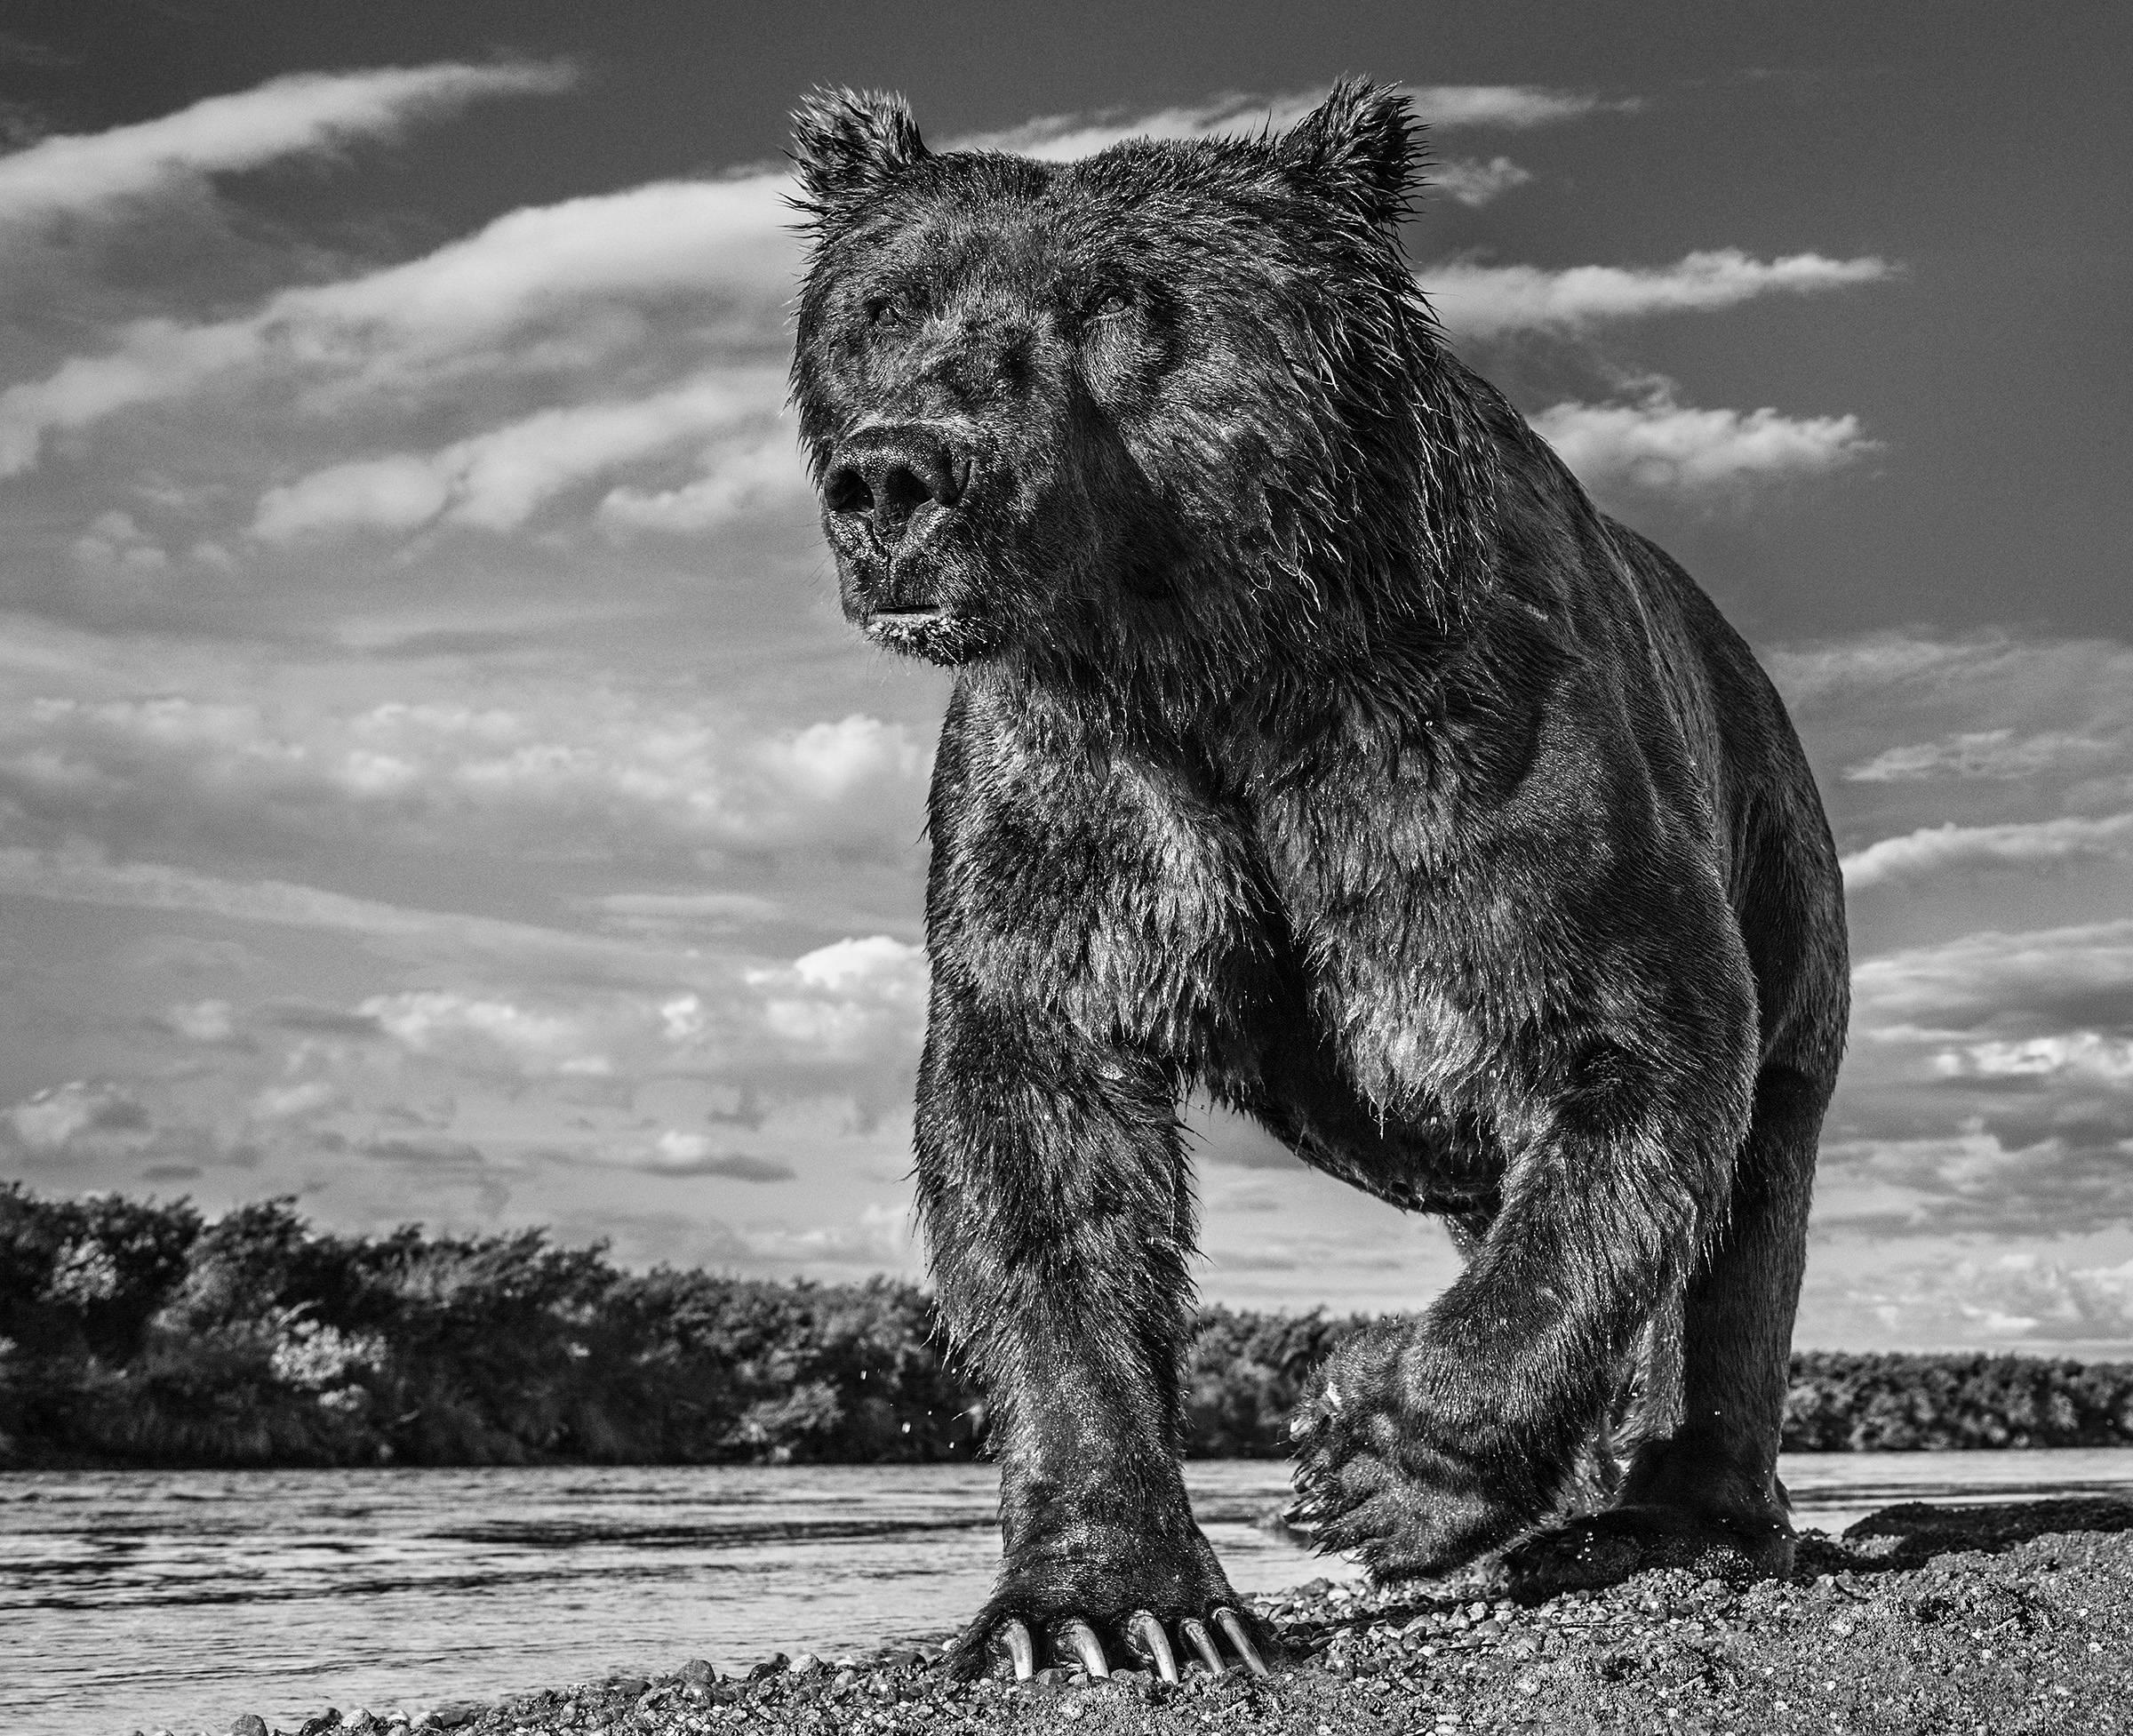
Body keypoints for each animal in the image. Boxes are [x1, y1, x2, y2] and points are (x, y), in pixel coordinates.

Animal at [789, 81, 1851, 1689]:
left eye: (1117, 306)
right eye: (882, 304)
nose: (894, 473)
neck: (1216, 661)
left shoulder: (1465, 763)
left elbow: (1635, 1057)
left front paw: (1371, 1459)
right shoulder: (1080, 815)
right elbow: (1041, 1142)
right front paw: (1111, 1601)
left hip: (1783, 872)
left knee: (1745, 1216)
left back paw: (1668, 1515)